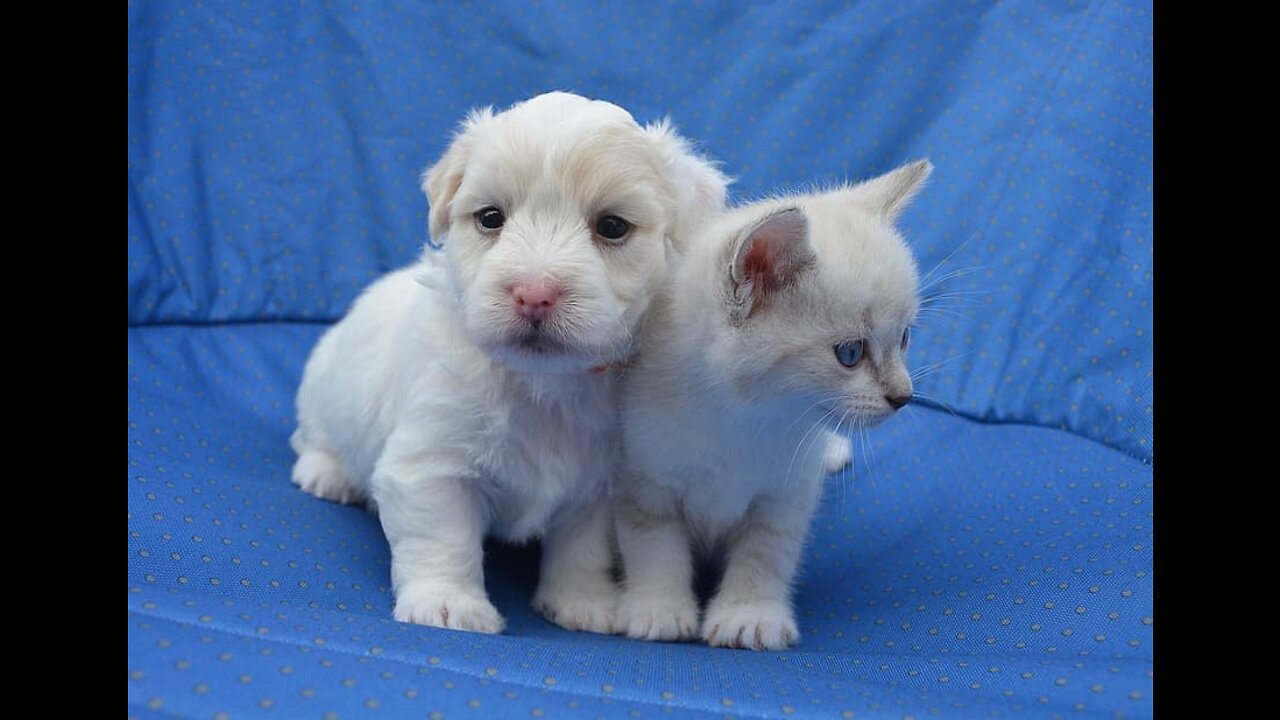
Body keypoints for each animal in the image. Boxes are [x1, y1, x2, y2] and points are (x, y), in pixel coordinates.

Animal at [293, 90, 727, 632]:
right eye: (490, 218)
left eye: (612, 227)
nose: (534, 294)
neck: (542, 383)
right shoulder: (430, 466)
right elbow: (443, 539)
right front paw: (448, 604)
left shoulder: (601, 484)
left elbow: (581, 547)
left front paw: (581, 601)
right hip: (323, 385)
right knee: (311, 435)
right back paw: (325, 473)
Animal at [611, 159, 931, 648]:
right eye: (850, 353)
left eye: (905, 338)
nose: (903, 396)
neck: (745, 419)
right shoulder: (642, 477)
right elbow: (653, 544)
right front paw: (658, 608)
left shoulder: (787, 492)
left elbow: (765, 553)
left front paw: (749, 615)